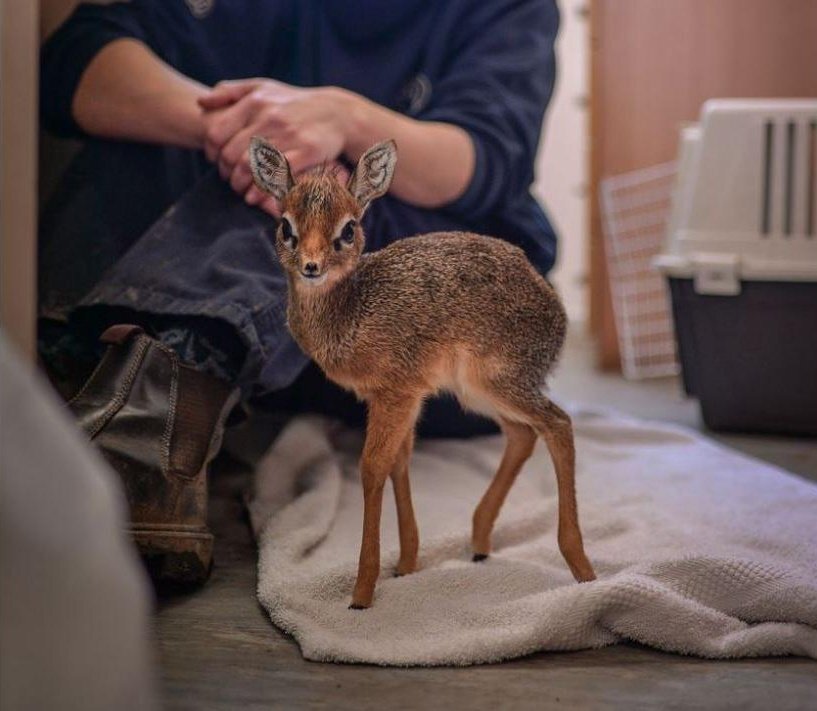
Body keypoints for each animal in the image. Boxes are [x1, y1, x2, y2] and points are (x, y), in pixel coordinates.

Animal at [247, 136, 592, 608]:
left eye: (348, 230)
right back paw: (479, 541)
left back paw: (581, 567)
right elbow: (399, 462)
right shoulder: (398, 397)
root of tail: (557, 314)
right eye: (286, 226)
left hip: (499, 380)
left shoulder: (397, 393)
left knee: (558, 424)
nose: (311, 266)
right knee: (523, 434)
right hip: (475, 393)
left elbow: (372, 468)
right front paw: (407, 563)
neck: (352, 311)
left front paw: (362, 591)